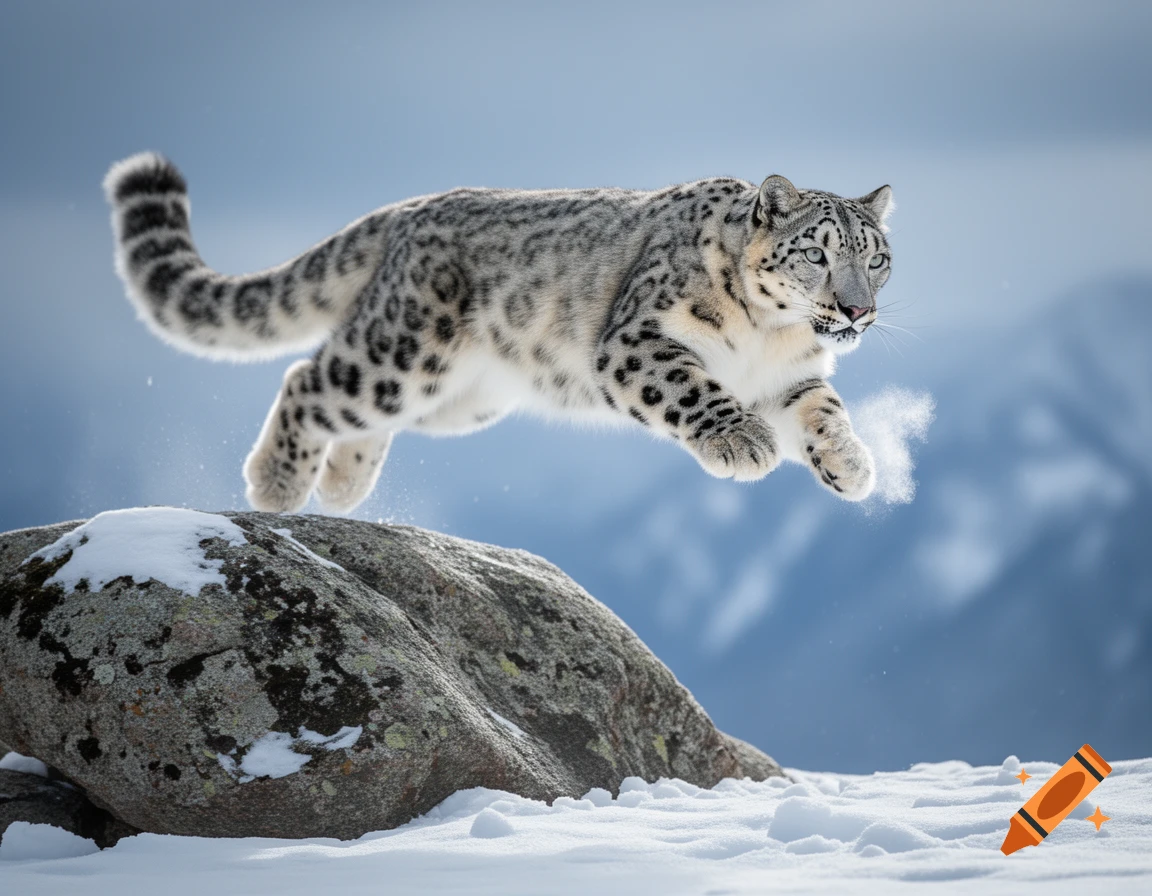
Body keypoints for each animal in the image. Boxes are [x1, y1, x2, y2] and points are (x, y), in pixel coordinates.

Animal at [104, 152, 893, 514]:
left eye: (876, 258)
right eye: (817, 253)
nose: (856, 311)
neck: (770, 337)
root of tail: (406, 209)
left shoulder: (789, 379)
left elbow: (823, 410)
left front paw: (851, 466)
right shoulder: (637, 341)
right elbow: (692, 388)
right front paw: (743, 443)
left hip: (459, 399)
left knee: (355, 410)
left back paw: (343, 486)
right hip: (400, 353)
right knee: (309, 379)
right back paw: (276, 485)